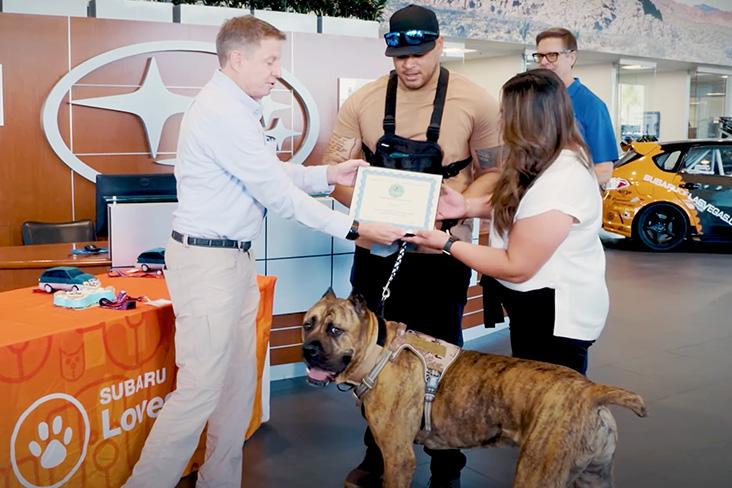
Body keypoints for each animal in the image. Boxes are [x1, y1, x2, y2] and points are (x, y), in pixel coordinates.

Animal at [300, 292, 644, 486]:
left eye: (335, 330)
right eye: (307, 325)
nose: (308, 350)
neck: (378, 349)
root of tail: (591, 391)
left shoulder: (398, 459)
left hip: (537, 471)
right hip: (595, 476)